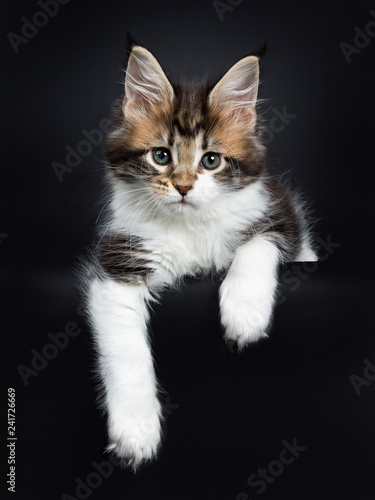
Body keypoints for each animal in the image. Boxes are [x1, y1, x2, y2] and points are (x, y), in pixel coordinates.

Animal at [83, 43, 318, 468]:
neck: (188, 225)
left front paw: (244, 314)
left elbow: (256, 244)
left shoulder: (282, 220)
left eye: (211, 160)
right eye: (161, 156)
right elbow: (124, 346)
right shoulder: (118, 263)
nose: (183, 187)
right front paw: (136, 430)